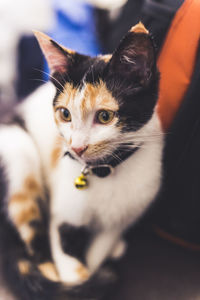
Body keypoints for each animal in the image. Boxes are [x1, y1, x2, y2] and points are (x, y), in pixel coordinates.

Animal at [0, 22, 162, 298]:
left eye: (105, 116)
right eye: (65, 114)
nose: (76, 147)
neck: (104, 170)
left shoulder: (120, 218)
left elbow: (97, 253)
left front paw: (96, 268)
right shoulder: (63, 216)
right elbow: (69, 264)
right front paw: (78, 284)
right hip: (18, 153)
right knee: (31, 242)